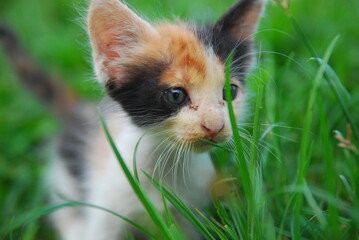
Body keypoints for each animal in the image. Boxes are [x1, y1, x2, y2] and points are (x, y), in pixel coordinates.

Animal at [0, 0, 264, 239]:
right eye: (175, 95)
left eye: (230, 92)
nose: (215, 125)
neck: (166, 167)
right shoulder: (105, 213)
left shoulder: (191, 214)